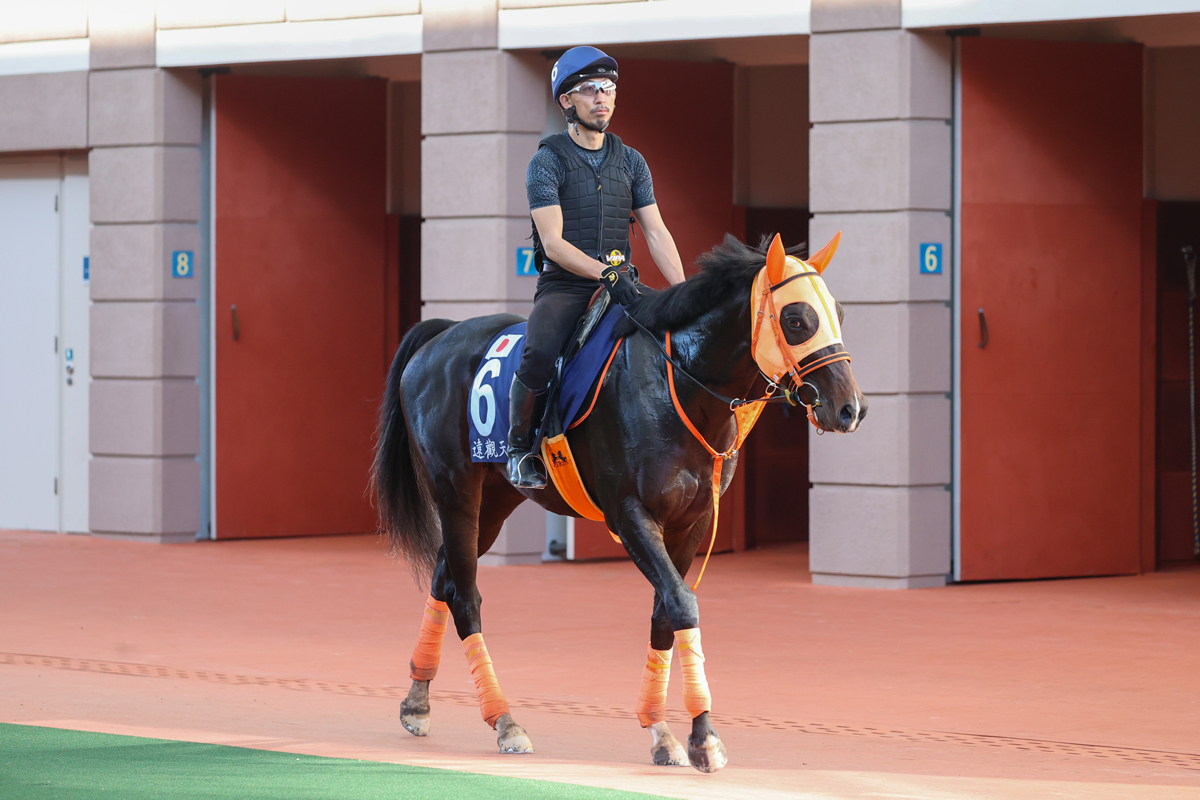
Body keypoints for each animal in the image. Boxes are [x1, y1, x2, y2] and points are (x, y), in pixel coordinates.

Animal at [372, 230, 864, 767]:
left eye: (839, 313)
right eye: (797, 319)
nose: (850, 408)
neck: (679, 387)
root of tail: (439, 336)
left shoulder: (690, 522)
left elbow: (665, 613)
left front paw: (663, 732)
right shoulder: (630, 515)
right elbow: (682, 603)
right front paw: (703, 734)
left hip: (496, 502)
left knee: (444, 576)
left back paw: (417, 700)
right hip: (456, 487)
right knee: (466, 595)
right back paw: (504, 721)